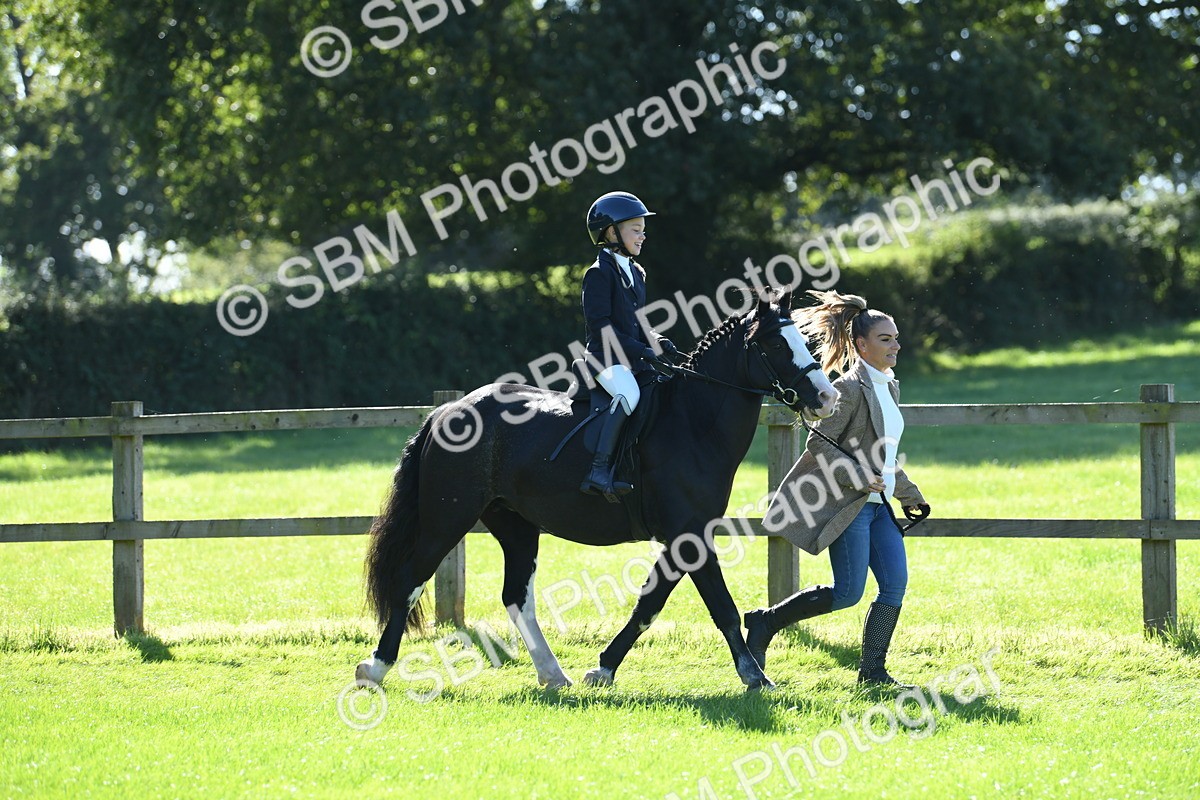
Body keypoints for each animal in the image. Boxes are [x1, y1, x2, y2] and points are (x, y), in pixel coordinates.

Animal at [355, 291, 837, 692]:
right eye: (777, 346)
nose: (827, 397)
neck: (693, 422)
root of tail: (448, 410)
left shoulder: (686, 537)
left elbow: (650, 604)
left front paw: (604, 667)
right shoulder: (690, 535)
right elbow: (720, 606)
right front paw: (756, 677)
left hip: (515, 525)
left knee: (516, 597)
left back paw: (553, 674)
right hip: (447, 519)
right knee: (410, 580)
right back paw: (375, 668)